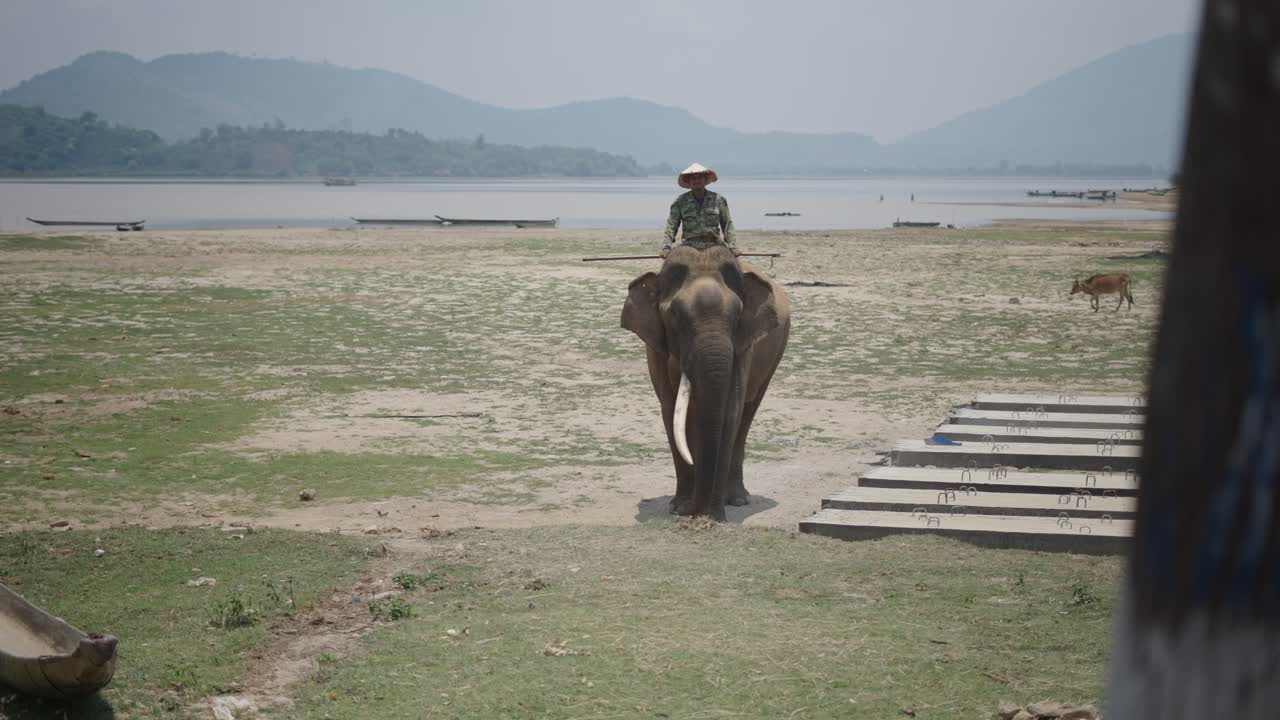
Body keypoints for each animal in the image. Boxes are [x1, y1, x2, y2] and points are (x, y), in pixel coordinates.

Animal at [621, 244, 791, 521]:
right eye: (676, 315)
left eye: (737, 315)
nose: (697, 513)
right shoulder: (656, 347)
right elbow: (671, 411)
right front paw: (679, 507)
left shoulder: (744, 343)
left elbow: (730, 412)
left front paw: (713, 515)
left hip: (776, 353)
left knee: (747, 415)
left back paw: (738, 499)